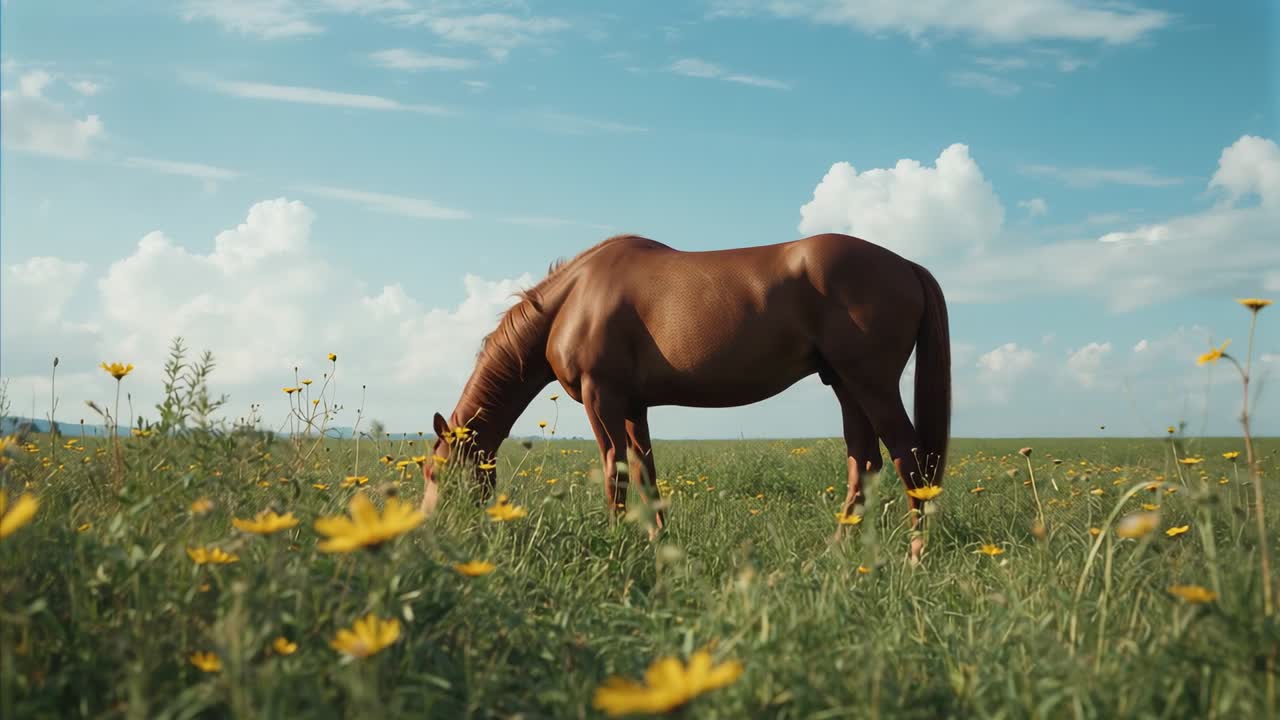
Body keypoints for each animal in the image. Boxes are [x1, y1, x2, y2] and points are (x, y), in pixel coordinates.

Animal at [420, 232, 951, 558]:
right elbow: (644, 472)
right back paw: (835, 553)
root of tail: (906, 265)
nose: (427, 529)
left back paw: (915, 556)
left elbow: (613, 470)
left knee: (910, 460)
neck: (574, 299)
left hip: (870, 383)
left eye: (437, 472)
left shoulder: (601, 397)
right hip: (843, 384)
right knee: (864, 464)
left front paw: (616, 540)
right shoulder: (633, 406)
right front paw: (658, 541)